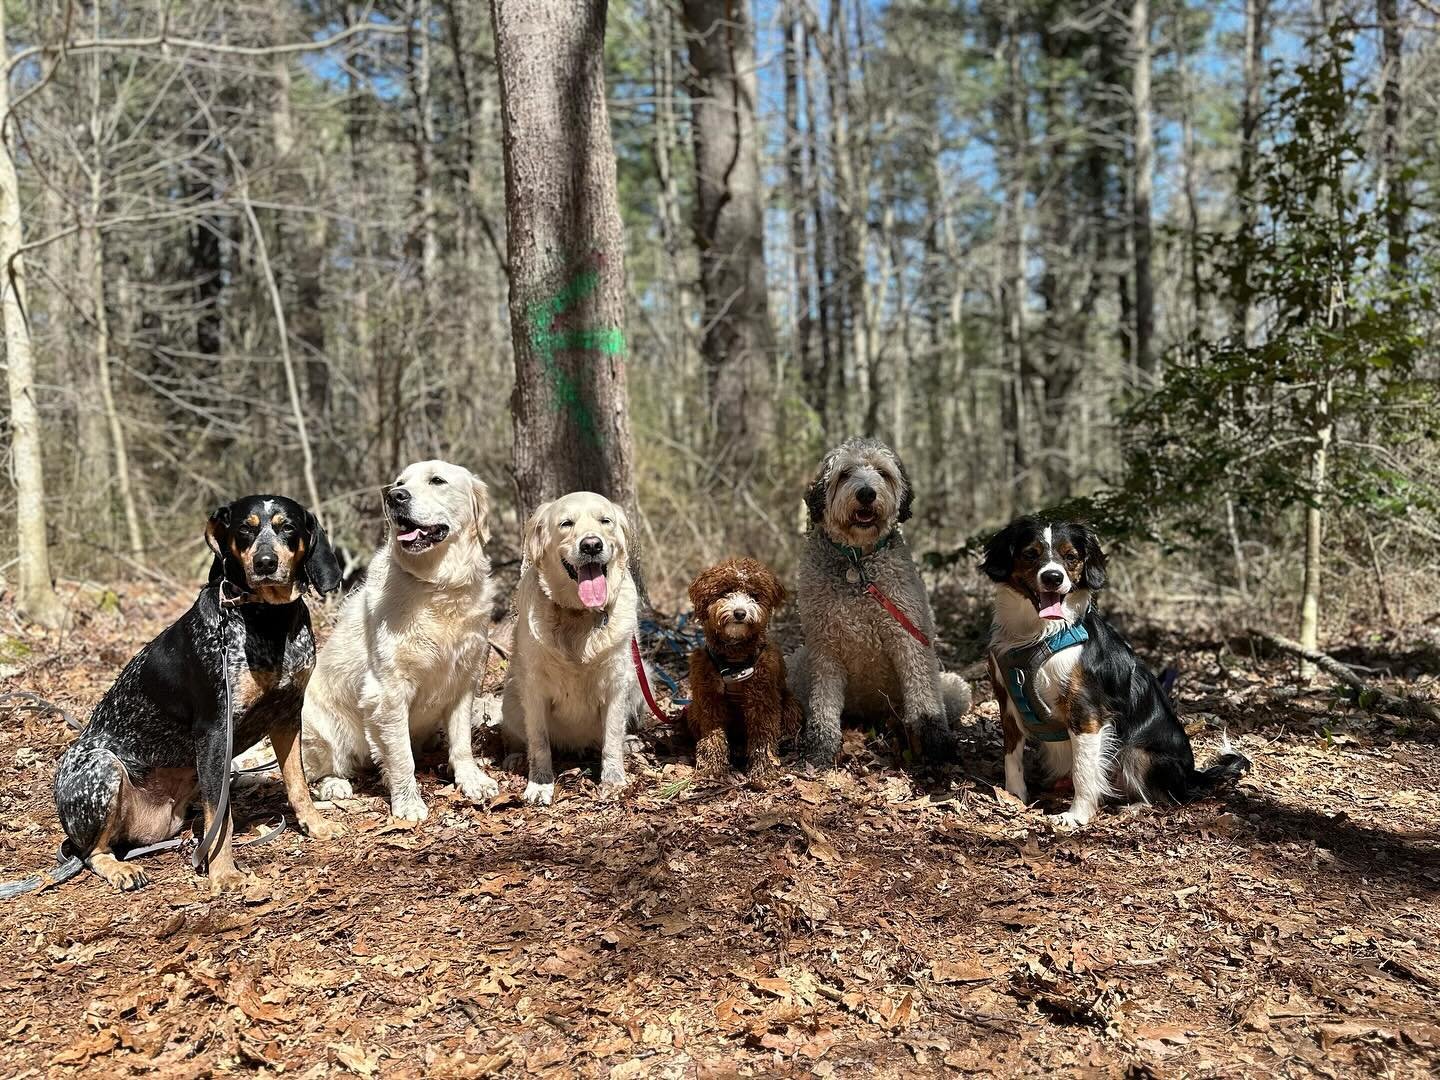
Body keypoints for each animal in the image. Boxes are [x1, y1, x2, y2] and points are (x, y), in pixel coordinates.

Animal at [17, 498, 342, 898]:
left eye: (287, 528)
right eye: (245, 530)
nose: (265, 563)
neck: (267, 619)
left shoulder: (287, 715)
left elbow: (297, 784)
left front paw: (317, 825)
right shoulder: (215, 731)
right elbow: (222, 817)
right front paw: (224, 873)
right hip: (103, 768)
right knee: (91, 852)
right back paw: (120, 869)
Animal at [979, 515, 1249, 829]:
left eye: (1071, 557)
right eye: (1031, 554)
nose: (1053, 578)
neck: (1041, 633)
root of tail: (1191, 775)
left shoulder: (1086, 713)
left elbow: (1084, 771)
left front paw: (1077, 815)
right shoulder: (1008, 701)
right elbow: (1012, 757)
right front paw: (1013, 796)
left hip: (1137, 752)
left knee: (1162, 799)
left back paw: (1132, 808)